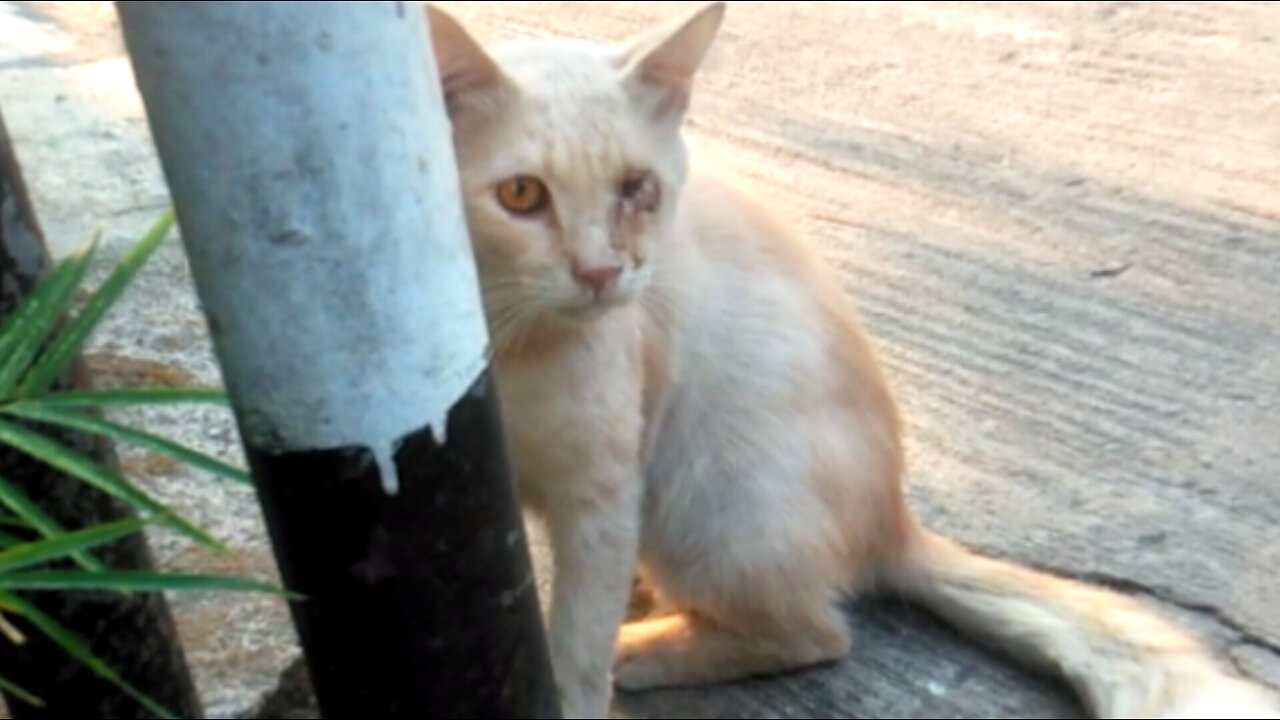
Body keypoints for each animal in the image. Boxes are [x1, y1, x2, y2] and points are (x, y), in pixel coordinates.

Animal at [422, 1, 1280, 717]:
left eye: (638, 189)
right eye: (522, 195)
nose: (603, 273)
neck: (511, 342)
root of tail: (893, 519)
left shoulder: (603, 496)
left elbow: (577, 644)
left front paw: (583, 677)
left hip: (706, 503)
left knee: (818, 632)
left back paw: (652, 645)